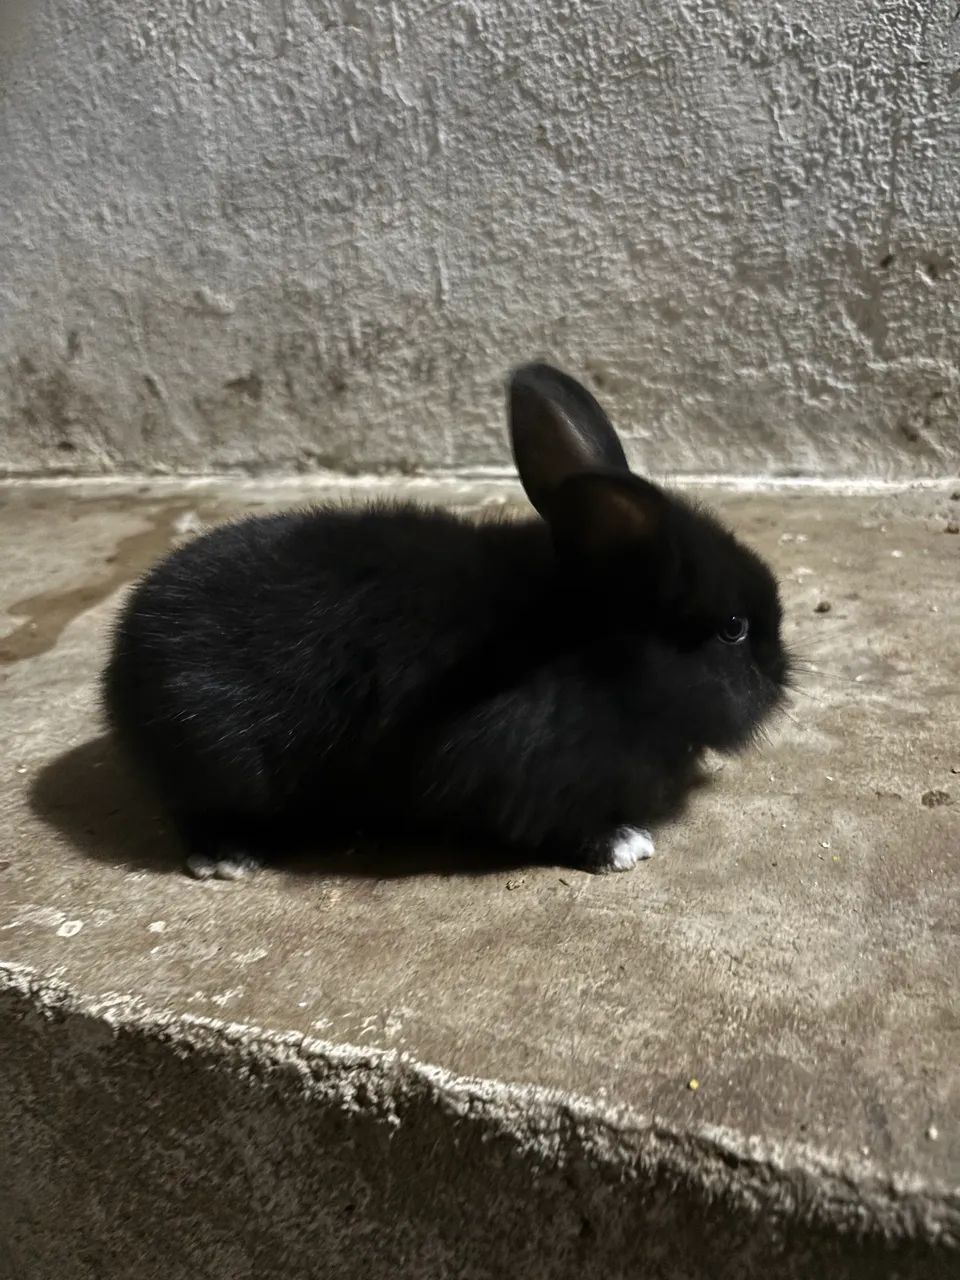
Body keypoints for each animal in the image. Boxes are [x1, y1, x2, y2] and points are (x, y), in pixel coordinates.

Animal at [103, 363, 790, 880]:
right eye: (734, 628)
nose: (783, 674)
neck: (598, 647)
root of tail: (122, 651)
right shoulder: (512, 769)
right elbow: (555, 824)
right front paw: (623, 845)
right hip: (217, 758)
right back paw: (228, 858)